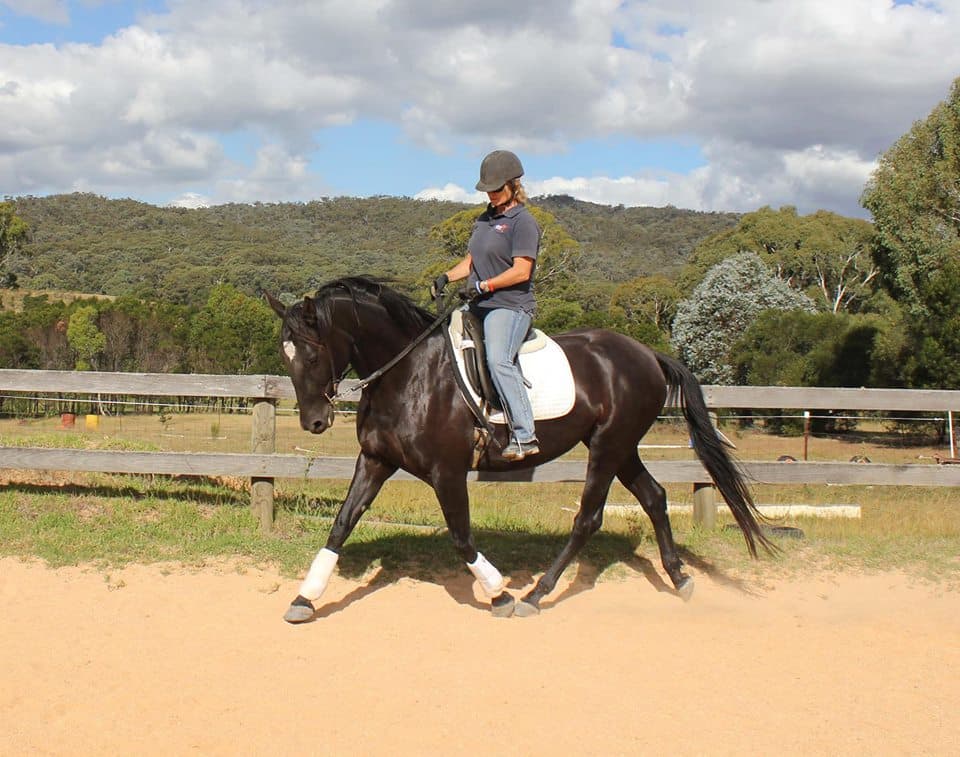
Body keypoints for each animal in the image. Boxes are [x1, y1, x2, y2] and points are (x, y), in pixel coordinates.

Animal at [267, 276, 772, 622]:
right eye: (286, 357)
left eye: (311, 354)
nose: (315, 422)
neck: (409, 374)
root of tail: (648, 354)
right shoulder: (375, 461)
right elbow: (341, 525)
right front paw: (305, 598)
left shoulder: (446, 472)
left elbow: (461, 536)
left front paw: (500, 594)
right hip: (622, 447)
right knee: (654, 497)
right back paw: (680, 578)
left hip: (607, 448)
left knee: (588, 519)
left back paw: (536, 594)